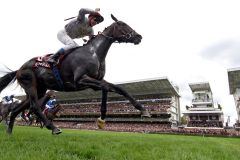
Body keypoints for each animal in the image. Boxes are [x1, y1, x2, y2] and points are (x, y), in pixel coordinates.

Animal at [0, 14, 150, 135]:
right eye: (123, 24)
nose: (139, 37)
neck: (93, 53)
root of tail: (19, 69)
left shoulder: (96, 80)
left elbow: (116, 88)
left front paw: (142, 109)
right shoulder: (81, 80)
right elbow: (108, 88)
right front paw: (102, 117)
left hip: (40, 90)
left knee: (17, 109)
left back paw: (9, 132)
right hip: (30, 84)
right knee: (34, 107)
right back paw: (53, 128)